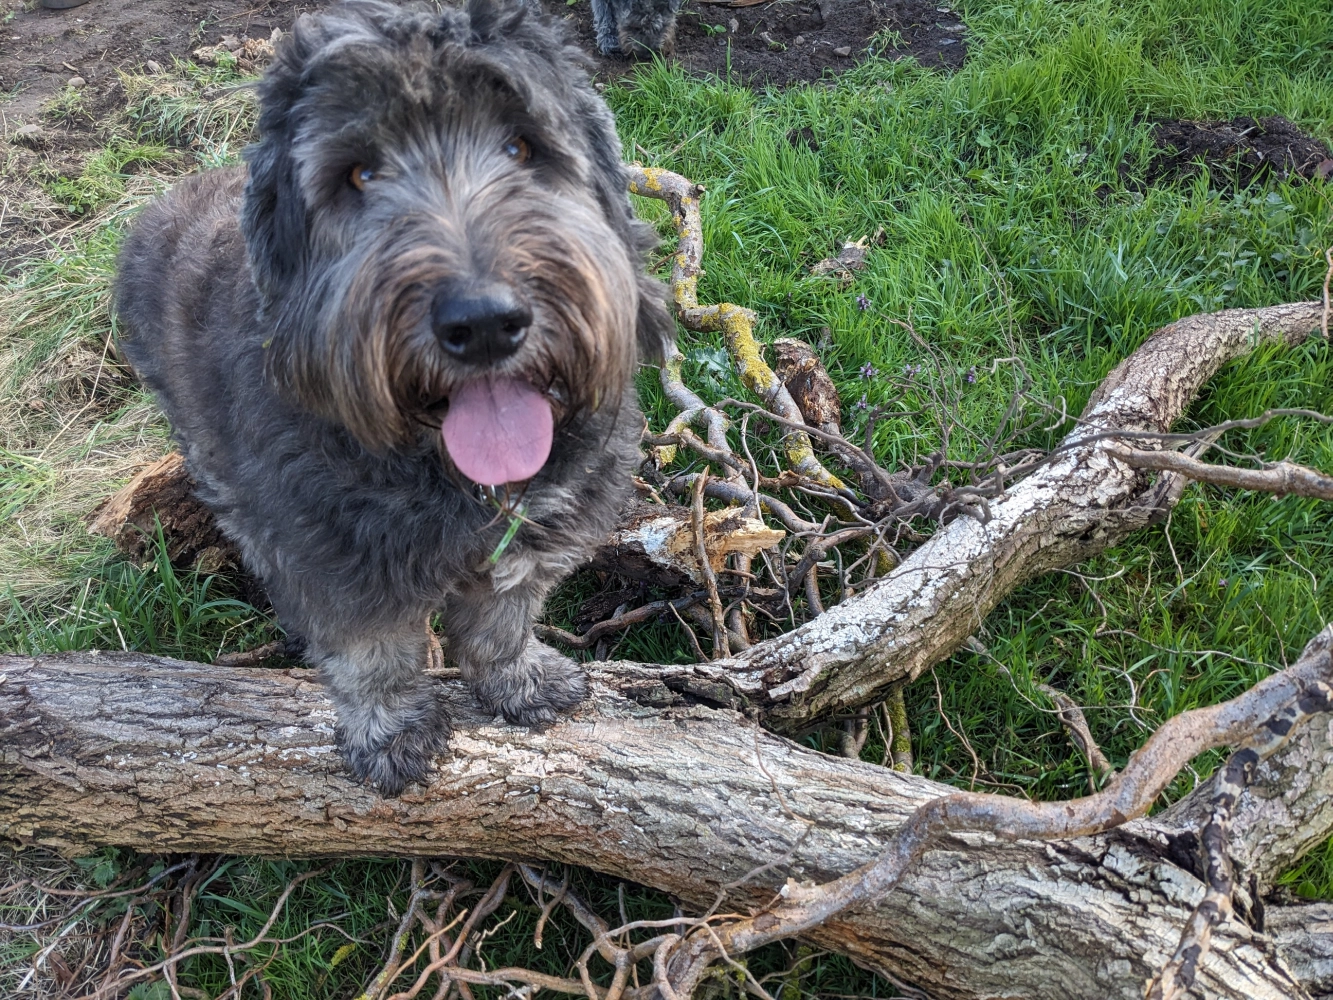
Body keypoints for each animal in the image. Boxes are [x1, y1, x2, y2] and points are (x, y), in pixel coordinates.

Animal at [113, 1, 671, 800]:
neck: (442, 466)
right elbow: (370, 649)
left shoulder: (542, 519)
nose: (483, 323)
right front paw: (392, 729)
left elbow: (505, 611)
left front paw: (518, 678)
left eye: (521, 145)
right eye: (359, 173)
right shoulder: (331, 553)